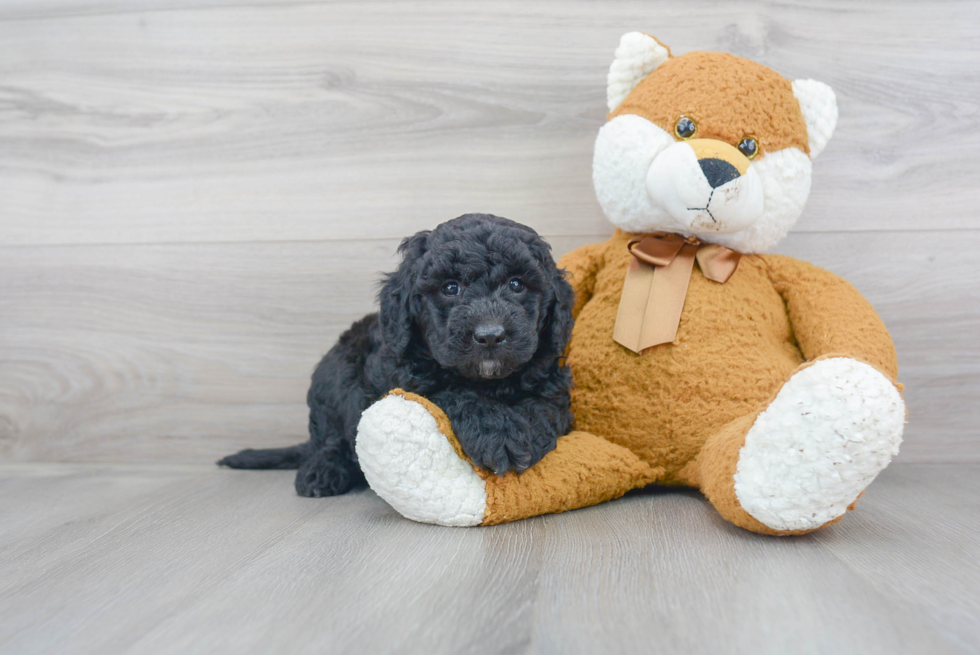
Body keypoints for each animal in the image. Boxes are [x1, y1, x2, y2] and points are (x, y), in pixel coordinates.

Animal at [220, 215, 576, 498]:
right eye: (450, 288)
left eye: (517, 284)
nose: (490, 335)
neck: (487, 382)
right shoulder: (405, 380)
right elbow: (454, 394)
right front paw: (498, 433)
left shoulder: (550, 380)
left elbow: (544, 405)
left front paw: (527, 435)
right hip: (334, 375)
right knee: (330, 439)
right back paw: (322, 471)